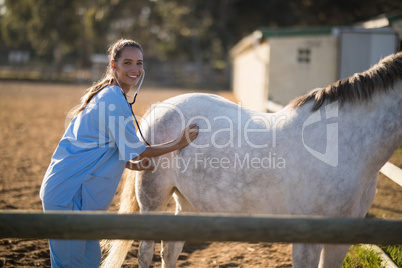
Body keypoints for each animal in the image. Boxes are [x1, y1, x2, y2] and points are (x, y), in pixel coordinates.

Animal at [103, 51, 402, 266]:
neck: (344, 144)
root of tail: (160, 106)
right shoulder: (307, 239)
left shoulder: (341, 240)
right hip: (152, 199)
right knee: (146, 253)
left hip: (188, 201)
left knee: (171, 250)